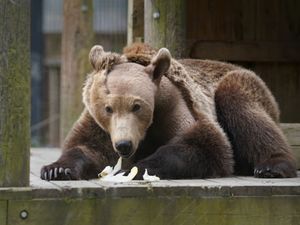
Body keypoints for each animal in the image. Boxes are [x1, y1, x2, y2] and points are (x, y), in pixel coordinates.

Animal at [41, 43, 296, 180]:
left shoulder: (176, 108)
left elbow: (205, 144)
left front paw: (133, 170)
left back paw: (272, 166)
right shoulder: (100, 124)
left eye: (137, 106)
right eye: (108, 108)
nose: (124, 145)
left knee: (244, 110)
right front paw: (56, 169)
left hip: (242, 85)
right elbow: (86, 146)